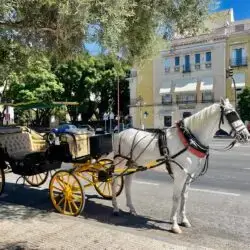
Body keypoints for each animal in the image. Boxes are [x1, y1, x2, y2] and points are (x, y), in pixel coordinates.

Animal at [110, 97, 249, 232]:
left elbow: (184, 197)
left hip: (132, 164)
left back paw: (132, 208)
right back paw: (115, 208)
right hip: (120, 163)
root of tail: (120, 133)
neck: (189, 140)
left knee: (128, 183)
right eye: (231, 114)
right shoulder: (180, 175)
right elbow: (176, 198)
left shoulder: (189, 174)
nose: (246, 136)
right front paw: (174, 224)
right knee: (113, 181)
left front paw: (184, 220)